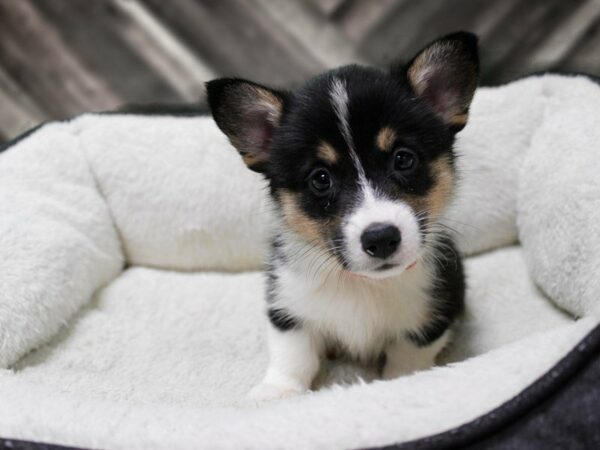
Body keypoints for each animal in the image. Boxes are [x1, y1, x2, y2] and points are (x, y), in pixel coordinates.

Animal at [206, 31, 478, 400]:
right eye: (321, 179)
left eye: (403, 159)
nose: (381, 238)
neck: (362, 285)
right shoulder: (288, 307)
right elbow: (293, 355)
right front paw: (277, 392)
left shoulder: (430, 317)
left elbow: (406, 359)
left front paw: (403, 384)